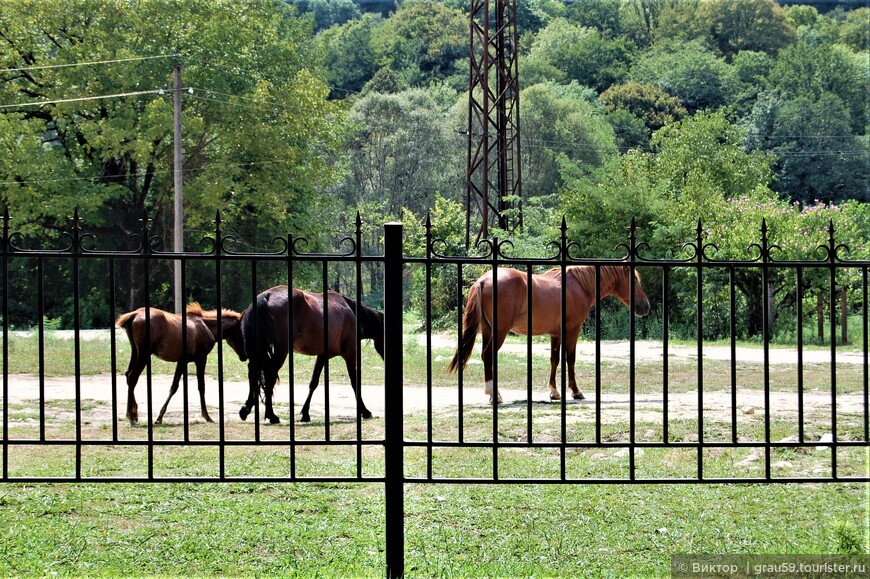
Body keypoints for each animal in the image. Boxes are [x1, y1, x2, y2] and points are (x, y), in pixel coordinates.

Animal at [116, 304, 245, 426]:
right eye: (242, 333)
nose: (244, 356)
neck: (207, 326)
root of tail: (134, 314)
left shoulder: (182, 361)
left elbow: (174, 386)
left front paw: (159, 417)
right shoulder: (201, 358)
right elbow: (201, 386)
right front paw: (207, 416)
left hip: (135, 351)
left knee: (128, 375)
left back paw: (134, 414)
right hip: (144, 354)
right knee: (133, 376)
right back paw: (131, 418)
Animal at [240, 288, 386, 424]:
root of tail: (266, 296)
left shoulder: (322, 356)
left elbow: (313, 383)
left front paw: (305, 413)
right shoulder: (349, 354)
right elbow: (355, 383)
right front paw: (365, 411)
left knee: (253, 372)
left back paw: (246, 409)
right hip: (281, 351)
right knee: (269, 375)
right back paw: (271, 415)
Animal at [450, 266, 648, 404]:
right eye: (634, 280)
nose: (646, 306)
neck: (578, 286)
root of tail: (482, 281)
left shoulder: (555, 334)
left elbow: (554, 360)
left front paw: (554, 392)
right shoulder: (573, 330)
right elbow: (570, 359)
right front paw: (576, 391)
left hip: (488, 330)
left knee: (487, 357)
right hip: (500, 332)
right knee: (488, 355)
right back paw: (494, 393)